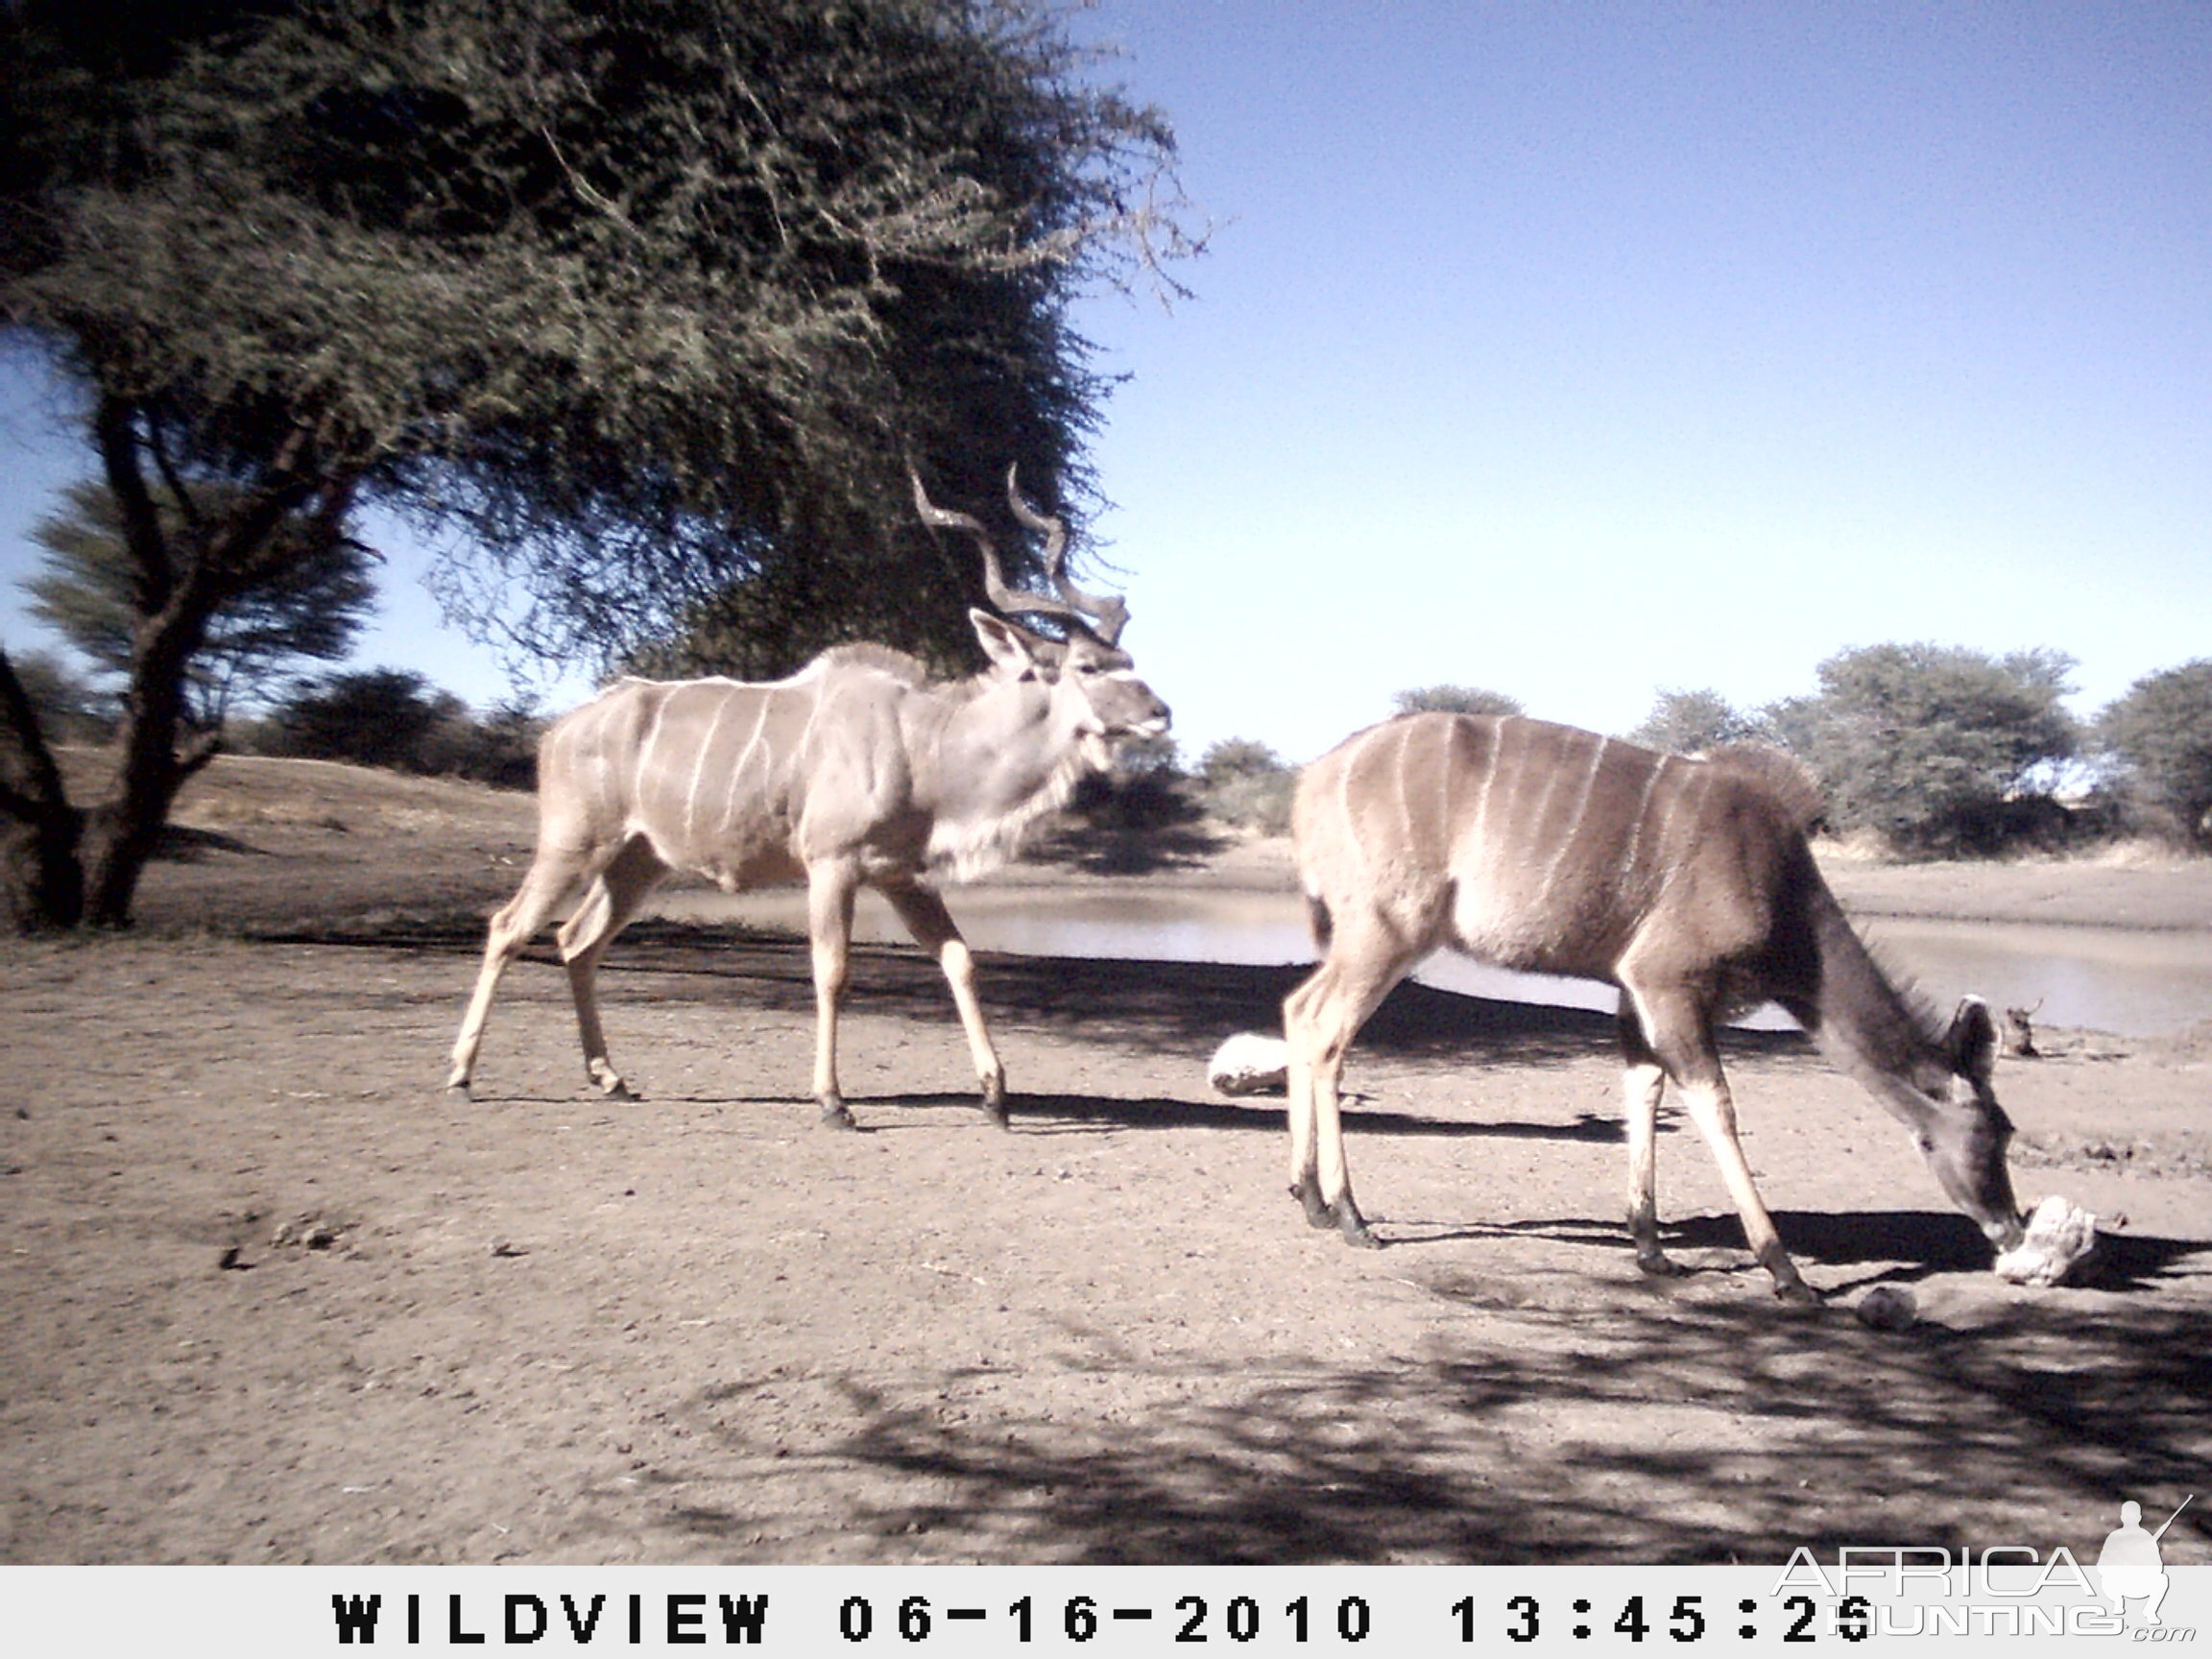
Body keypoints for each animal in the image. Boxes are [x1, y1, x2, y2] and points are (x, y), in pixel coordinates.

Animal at [453, 473, 1176, 1141]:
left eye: (1127, 659)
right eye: (1087, 666)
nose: (1161, 714)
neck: (924, 741)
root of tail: (559, 729)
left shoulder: (902, 875)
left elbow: (958, 959)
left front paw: (995, 1099)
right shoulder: (832, 866)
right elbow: (832, 971)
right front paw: (833, 1103)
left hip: (637, 862)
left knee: (576, 941)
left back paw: (610, 1078)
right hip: (574, 842)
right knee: (509, 926)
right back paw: (462, 1075)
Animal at [1283, 711, 2026, 1300]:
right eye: (1993, 1133)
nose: (2011, 1227)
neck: (1784, 898)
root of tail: (1311, 781)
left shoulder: (1633, 992)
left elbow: (1643, 1087)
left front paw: (1652, 1249)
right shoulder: (1669, 981)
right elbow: (1715, 1104)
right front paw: (1785, 1271)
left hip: (1367, 938)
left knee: (1298, 1010)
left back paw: (1311, 1199)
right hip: (1389, 931)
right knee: (1327, 1029)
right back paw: (1351, 1217)